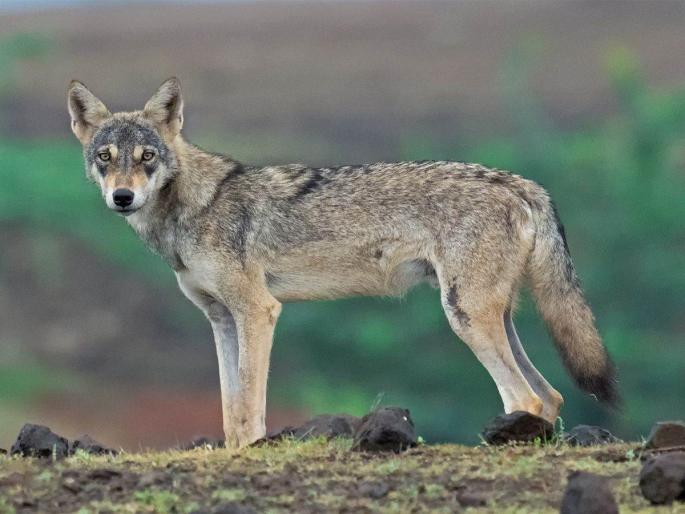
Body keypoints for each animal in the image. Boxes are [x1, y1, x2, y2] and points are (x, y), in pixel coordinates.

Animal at [68, 77, 618, 447]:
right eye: (105, 157)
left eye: (146, 157)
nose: (121, 198)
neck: (193, 208)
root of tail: (521, 183)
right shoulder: (222, 320)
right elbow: (229, 407)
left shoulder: (259, 311)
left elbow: (249, 406)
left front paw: (252, 452)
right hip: (489, 316)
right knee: (550, 396)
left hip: (465, 317)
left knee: (526, 397)